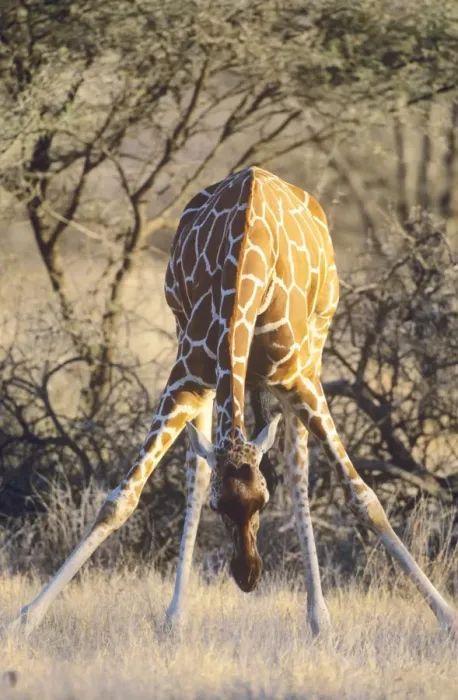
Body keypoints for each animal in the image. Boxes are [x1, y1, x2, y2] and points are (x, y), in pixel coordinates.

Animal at [5, 166, 458, 639]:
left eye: (263, 500)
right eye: (219, 507)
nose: (247, 577)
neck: (244, 274)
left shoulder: (299, 379)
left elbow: (363, 498)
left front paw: (447, 616)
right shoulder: (187, 376)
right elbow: (121, 500)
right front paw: (23, 620)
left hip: (314, 346)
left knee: (298, 471)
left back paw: (318, 618)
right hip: (198, 356)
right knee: (199, 467)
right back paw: (176, 617)